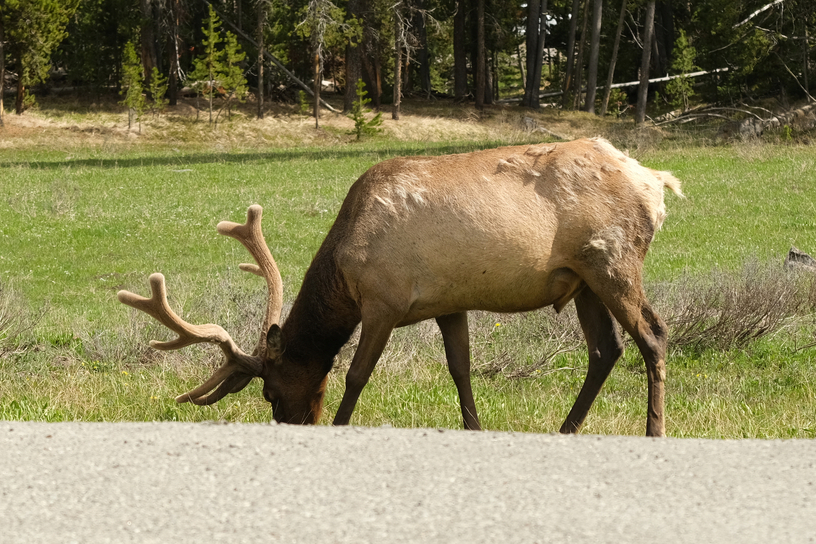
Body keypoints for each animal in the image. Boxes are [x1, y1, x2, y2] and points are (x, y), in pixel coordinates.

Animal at [118, 137, 682, 436]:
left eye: (270, 391)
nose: (294, 425)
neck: (343, 271)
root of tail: (657, 182)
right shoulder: (450, 303)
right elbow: (460, 371)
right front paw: (475, 429)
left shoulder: (383, 301)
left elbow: (356, 375)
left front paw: (341, 425)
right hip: (582, 280)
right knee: (605, 349)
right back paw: (566, 431)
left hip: (611, 261)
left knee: (653, 335)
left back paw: (653, 431)